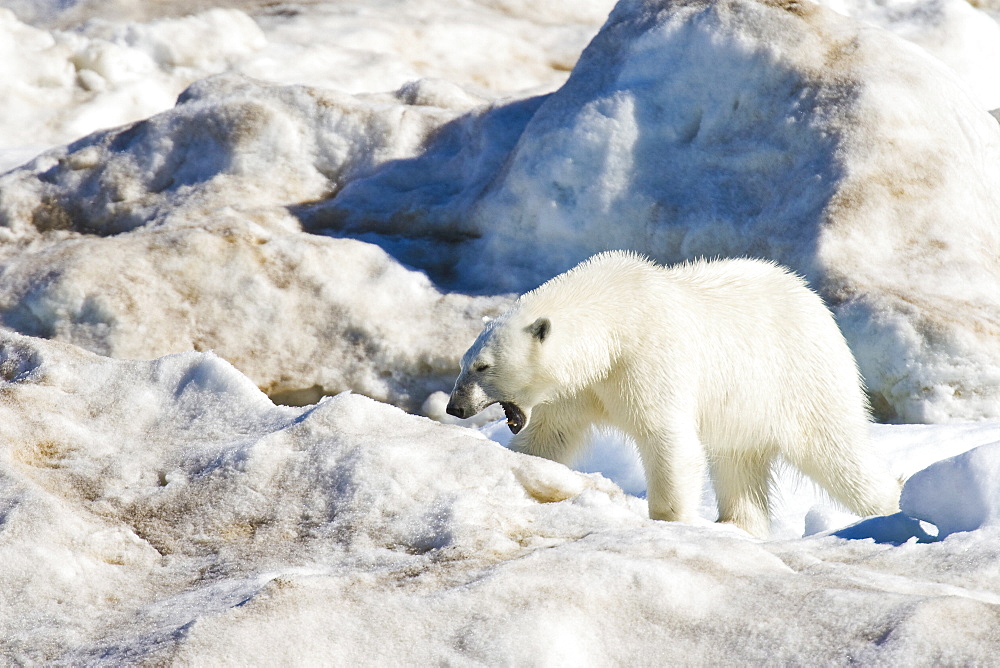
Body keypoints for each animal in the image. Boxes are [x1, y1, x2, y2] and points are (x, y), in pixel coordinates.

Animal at [450, 250, 904, 536]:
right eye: (463, 361)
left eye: (482, 366)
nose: (455, 406)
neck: (617, 318)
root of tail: (815, 302)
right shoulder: (580, 388)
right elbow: (550, 436)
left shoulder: (648, 362)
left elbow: (669, 440)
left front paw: (669, 523)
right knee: (739, 465)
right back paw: (737, 525)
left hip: (802, 380)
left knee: (838, 454)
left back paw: (889, 508)